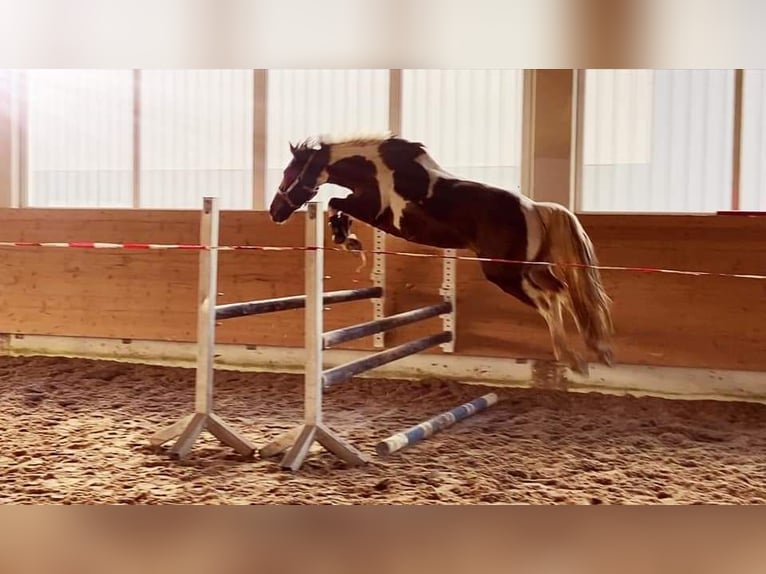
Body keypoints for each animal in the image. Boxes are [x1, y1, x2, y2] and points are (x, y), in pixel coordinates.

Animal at [269, 132, 614, 375]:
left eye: (288, 175)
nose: (275, 212)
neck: (378, 171)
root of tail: (535, 209)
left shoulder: (377, 214)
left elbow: (335, 203)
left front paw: (346, 239)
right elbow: (337, 204)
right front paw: (348, 239)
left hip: (504, 274)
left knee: (547, 300)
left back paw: (572, 359)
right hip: (532, 268)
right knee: (563, 293)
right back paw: (591, 351)